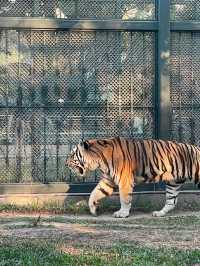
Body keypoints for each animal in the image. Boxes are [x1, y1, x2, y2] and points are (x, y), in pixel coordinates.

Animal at [66, 137, 200, 218]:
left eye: (72, 155)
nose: (66, 164)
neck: (99, 160)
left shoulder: (124, 180)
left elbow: (124, 198)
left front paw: (122, 213)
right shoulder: (108, 181)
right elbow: (95, 193)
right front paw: (93, 208)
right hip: (174, 182)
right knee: (171, 201)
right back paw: (159, 213)